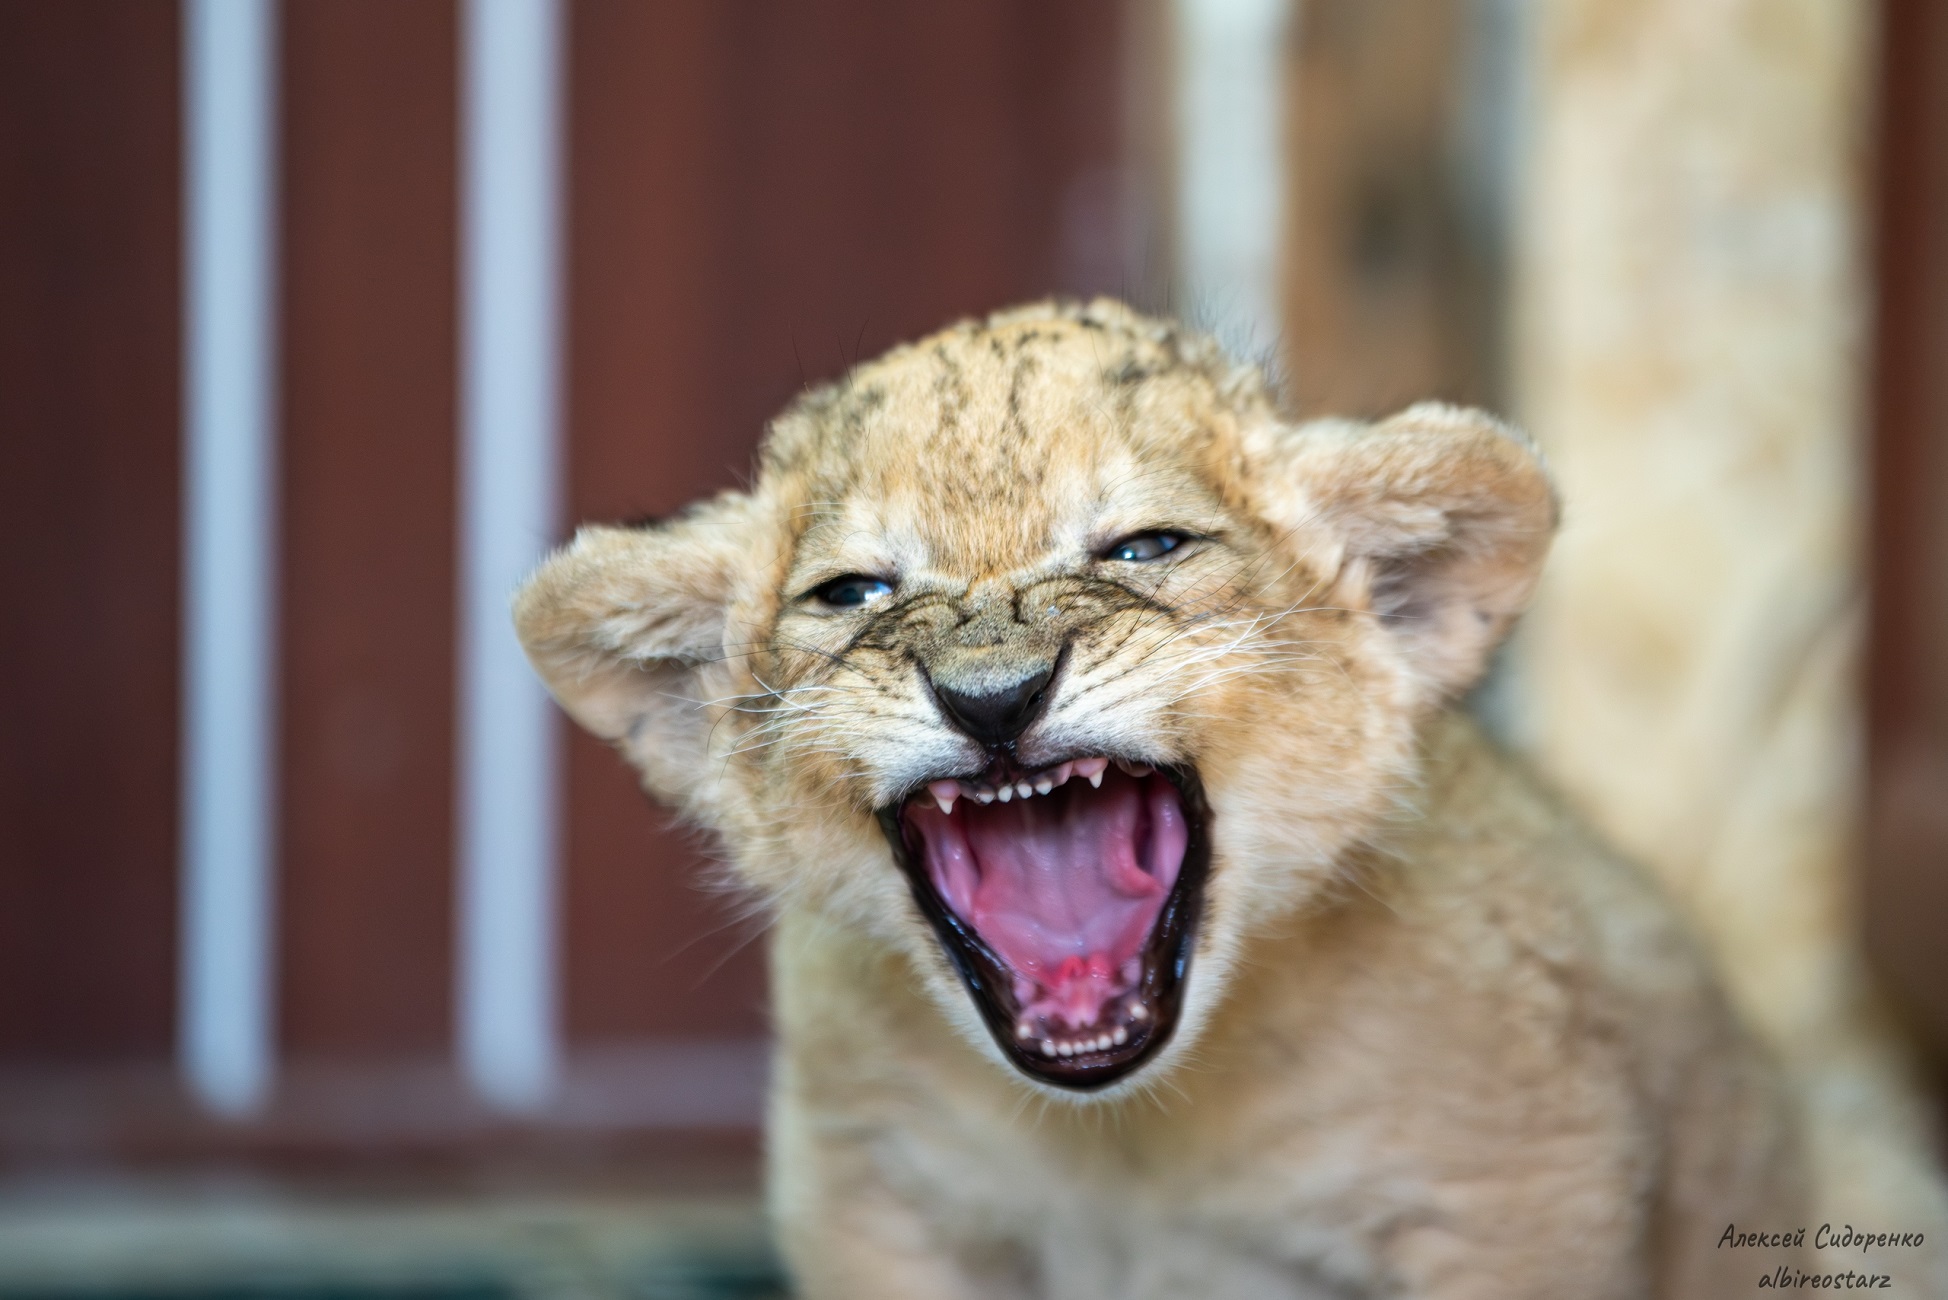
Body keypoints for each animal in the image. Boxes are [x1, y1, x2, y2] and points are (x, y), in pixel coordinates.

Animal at [514, 300, 1819, 1297]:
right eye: (852, 591)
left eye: (1144, 547)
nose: (993, 696)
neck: (1129, 1135)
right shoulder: (871, 1194)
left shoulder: (1513, 1195)